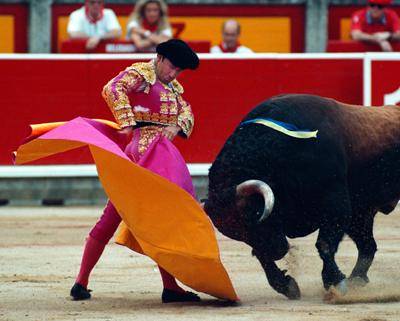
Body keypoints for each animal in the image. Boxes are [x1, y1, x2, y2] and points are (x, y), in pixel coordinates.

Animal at [205, 94, 398, 298]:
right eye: (238, 234)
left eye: (254, 214)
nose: (277, 251)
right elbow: (259, 254)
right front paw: (286, 285)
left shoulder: (336, 205)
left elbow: (324, 245)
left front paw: (335, 283)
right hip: (361, 213)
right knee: (368, 246)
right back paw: (357, 280)